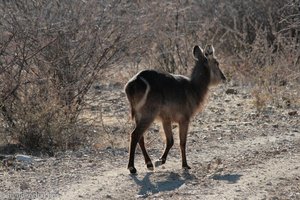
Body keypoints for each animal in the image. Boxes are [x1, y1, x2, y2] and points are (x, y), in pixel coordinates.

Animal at [124, 44, 225, 173]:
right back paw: (132, 167)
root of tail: (132, 84)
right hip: (148, 114)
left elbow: (170, 141)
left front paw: (160, 160)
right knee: (135, 135)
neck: (194, 88)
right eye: (217, 63)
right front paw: (185, 165)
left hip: (139, 115)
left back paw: (149, 164)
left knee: (140, 137)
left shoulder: (166, 119)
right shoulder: (184, 119)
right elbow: (182, 142)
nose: (223, 77)